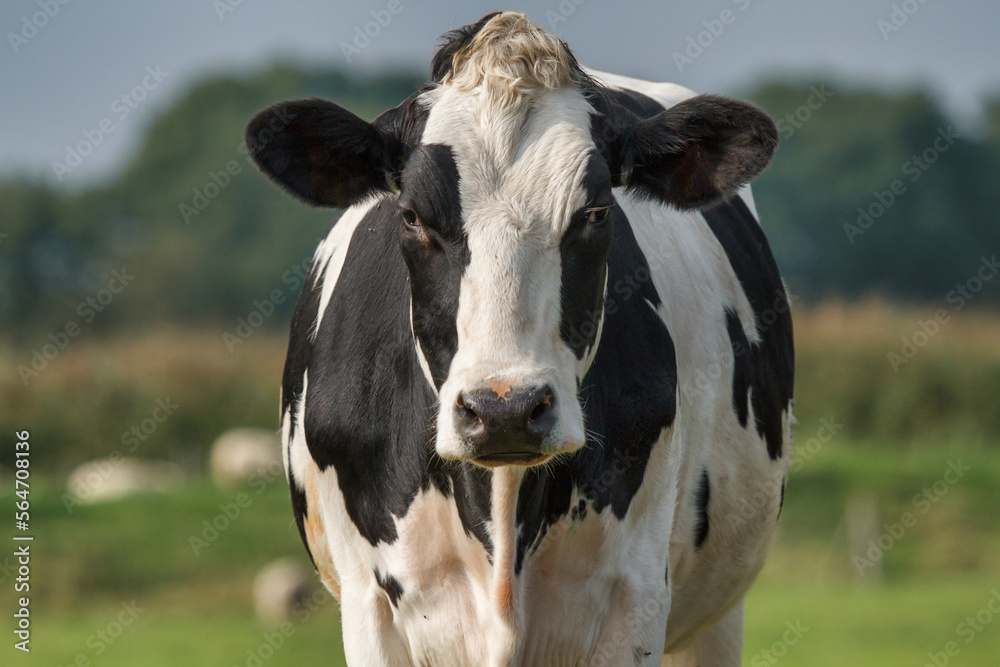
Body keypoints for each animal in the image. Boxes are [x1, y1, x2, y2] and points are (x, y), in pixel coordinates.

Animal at [250, 11, 796, 667]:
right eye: (410, 215)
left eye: (595, 213)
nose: (504, 409)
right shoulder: (368, 602)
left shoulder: (636, 596)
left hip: (714, 618)